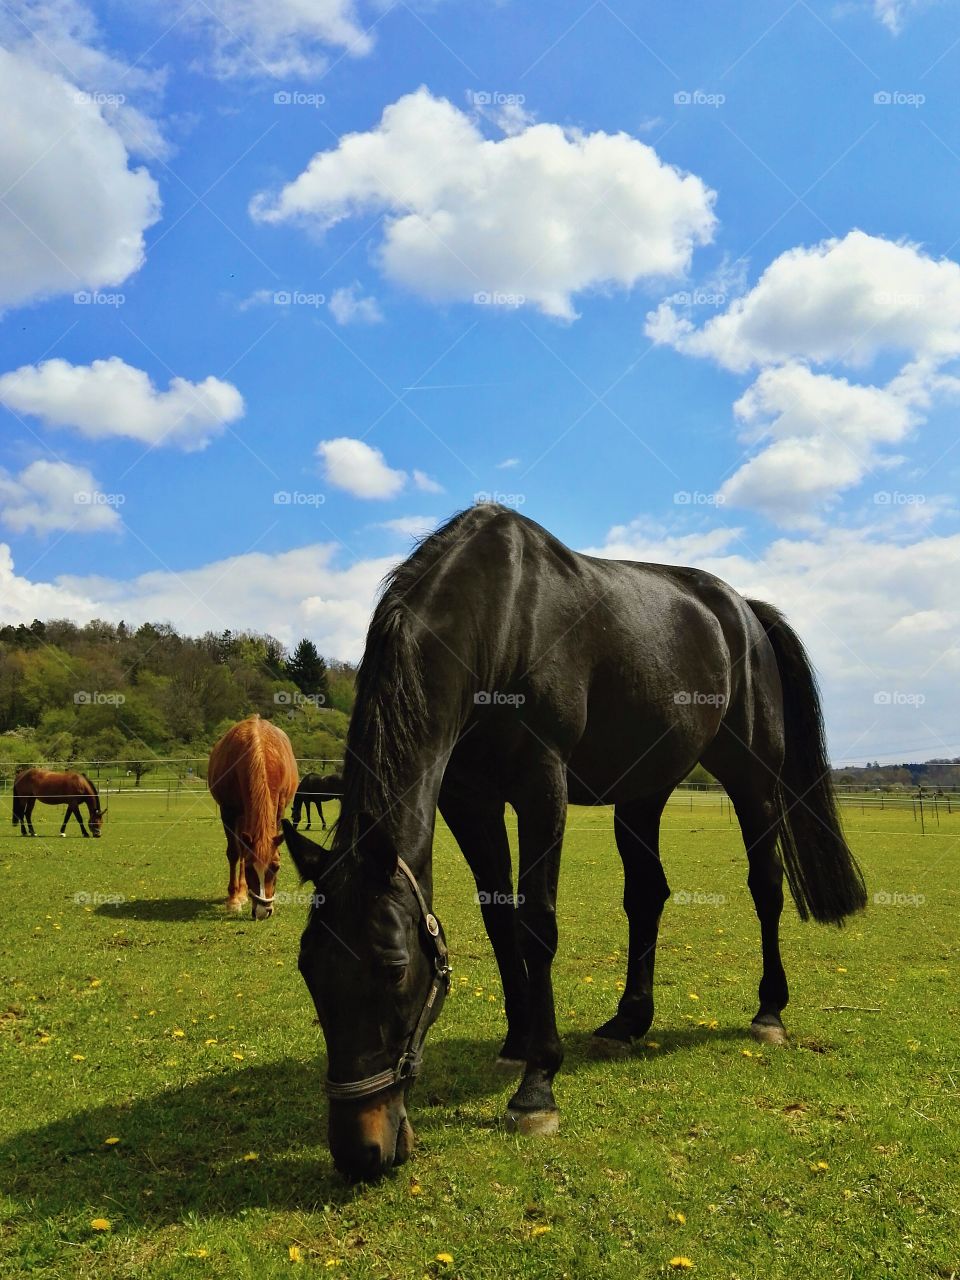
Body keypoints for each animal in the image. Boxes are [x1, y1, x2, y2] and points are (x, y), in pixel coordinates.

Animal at [207, 716, 299, 921]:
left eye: (276, 867)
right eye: (250, 868)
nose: (263, 912)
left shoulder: (278, 809)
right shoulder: (228, 812)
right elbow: (234, 853)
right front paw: (233, 900)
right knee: (240, 850)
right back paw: (239, 894)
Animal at [282, 504, 867, 1180]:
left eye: (394, 968)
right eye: (309, 969)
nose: (362, 1152)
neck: (501, 617)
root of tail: (743, 610)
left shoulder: (542, 786)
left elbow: (537, 924)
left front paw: (537, 1085)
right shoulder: (469, 800)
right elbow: (499, 919)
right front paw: (517, 1042)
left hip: (752, 783)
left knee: (765, 888)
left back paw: (768, 1011)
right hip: (643, 792)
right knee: (647, 895)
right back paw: (628, 1021)